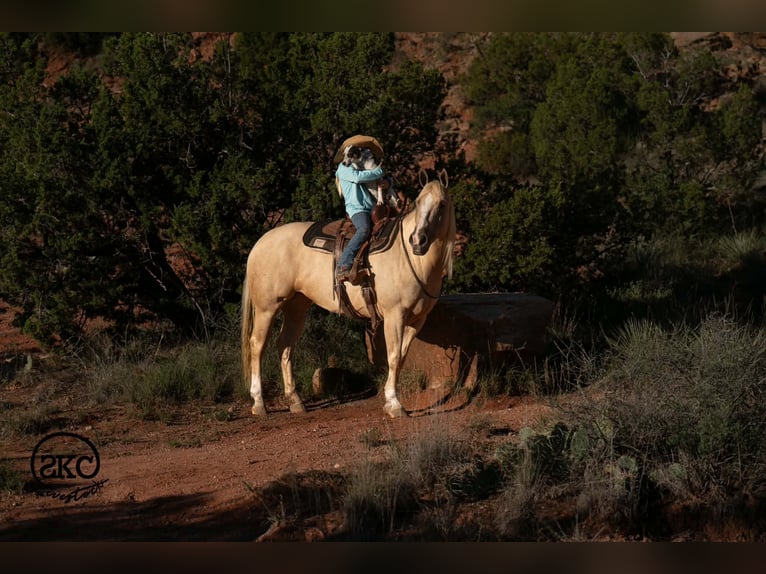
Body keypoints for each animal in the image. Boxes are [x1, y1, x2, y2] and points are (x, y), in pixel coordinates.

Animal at [241, 170, 456, 418]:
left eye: (442, 204)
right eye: (419, 202)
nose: (417, 241)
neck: (411, 259)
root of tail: (259, 244)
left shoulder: (417, 320)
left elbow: (401, 357)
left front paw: (390, 400)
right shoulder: (395, 315)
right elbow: (393, 357)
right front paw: (395, 404)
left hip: (296, 307)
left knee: (284, 345)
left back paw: (295, 401)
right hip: (266, 307)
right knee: (257, 345)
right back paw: (259, 402)